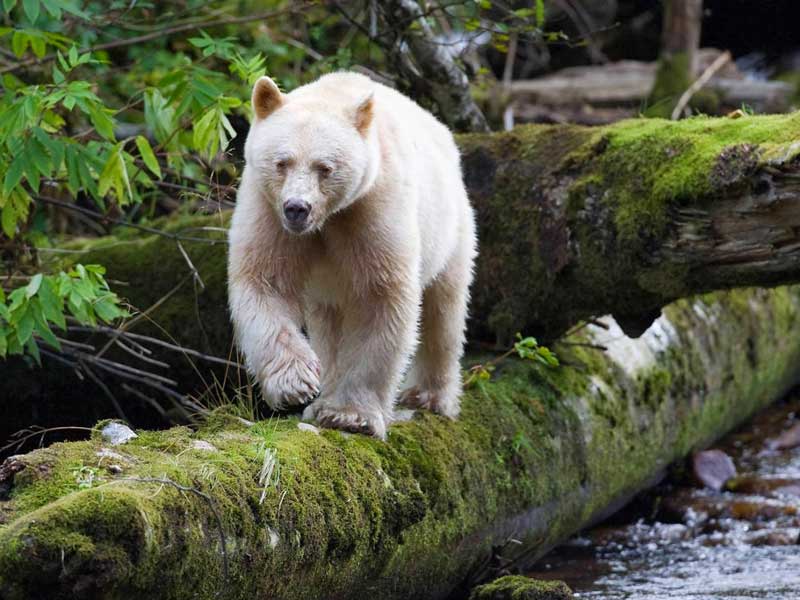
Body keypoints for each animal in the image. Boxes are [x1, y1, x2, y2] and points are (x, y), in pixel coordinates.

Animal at [227, 70, 476, 438]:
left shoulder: (372, 207)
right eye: (282, 162)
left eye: (324, 167)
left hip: (451, 228)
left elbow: (380, 297)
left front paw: (350, 415)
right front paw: (296, 383)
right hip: (327, 288)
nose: (296, 208)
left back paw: (429, 396)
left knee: (443, 309)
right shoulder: (268, 209)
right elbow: (266, 281)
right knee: (328, 324)